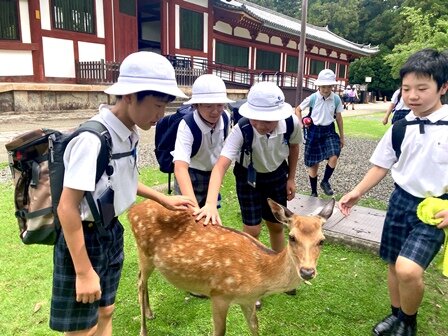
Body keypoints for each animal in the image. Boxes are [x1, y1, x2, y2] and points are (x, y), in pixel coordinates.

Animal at [128, 198, 334, 334]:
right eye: (292, 237)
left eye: (322, 241)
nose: (307, 271)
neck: (260, 275)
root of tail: (132, 210)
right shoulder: (219, 293)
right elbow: (220, 331)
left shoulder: (248, 301)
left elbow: (254, 327)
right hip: (144, 252)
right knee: (139, 282)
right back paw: (143, 329)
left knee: (140, 279)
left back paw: (150, 313)